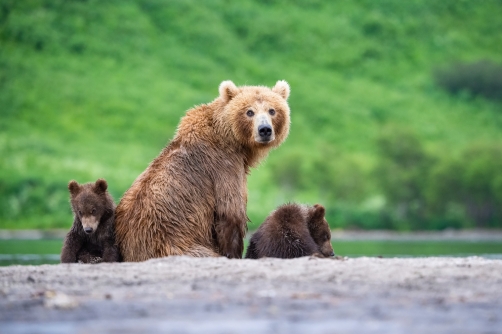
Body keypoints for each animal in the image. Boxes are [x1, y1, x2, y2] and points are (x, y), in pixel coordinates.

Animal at [114, 80, 292, 260]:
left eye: (272, 110)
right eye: (249, 111)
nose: (265, 130)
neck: (232, 141)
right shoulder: (224, 166)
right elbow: (231, 212)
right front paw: (233, 252)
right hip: (174, 244)